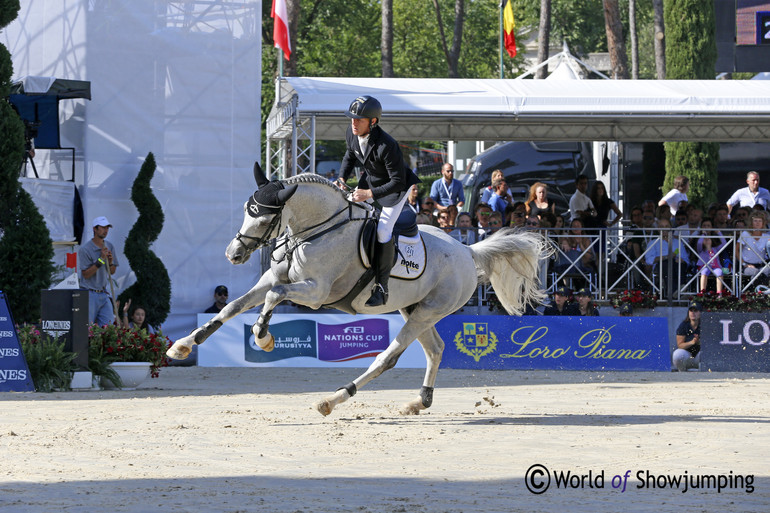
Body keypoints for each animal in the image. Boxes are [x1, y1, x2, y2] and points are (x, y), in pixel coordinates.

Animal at [168, 164, 548, 416]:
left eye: (263, 218)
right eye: (247, 212)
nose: (233, 255)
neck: (314, 231)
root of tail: (468, 252)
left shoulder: (315, 293)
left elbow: (275, 298)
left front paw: (264, 338)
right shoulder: (269, 279)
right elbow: (231, 307)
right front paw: (183, 345)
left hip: (429, 311)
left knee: (387, 357)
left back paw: (333, 399)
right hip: (415, 309)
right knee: (436, 349)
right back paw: (419, 401)